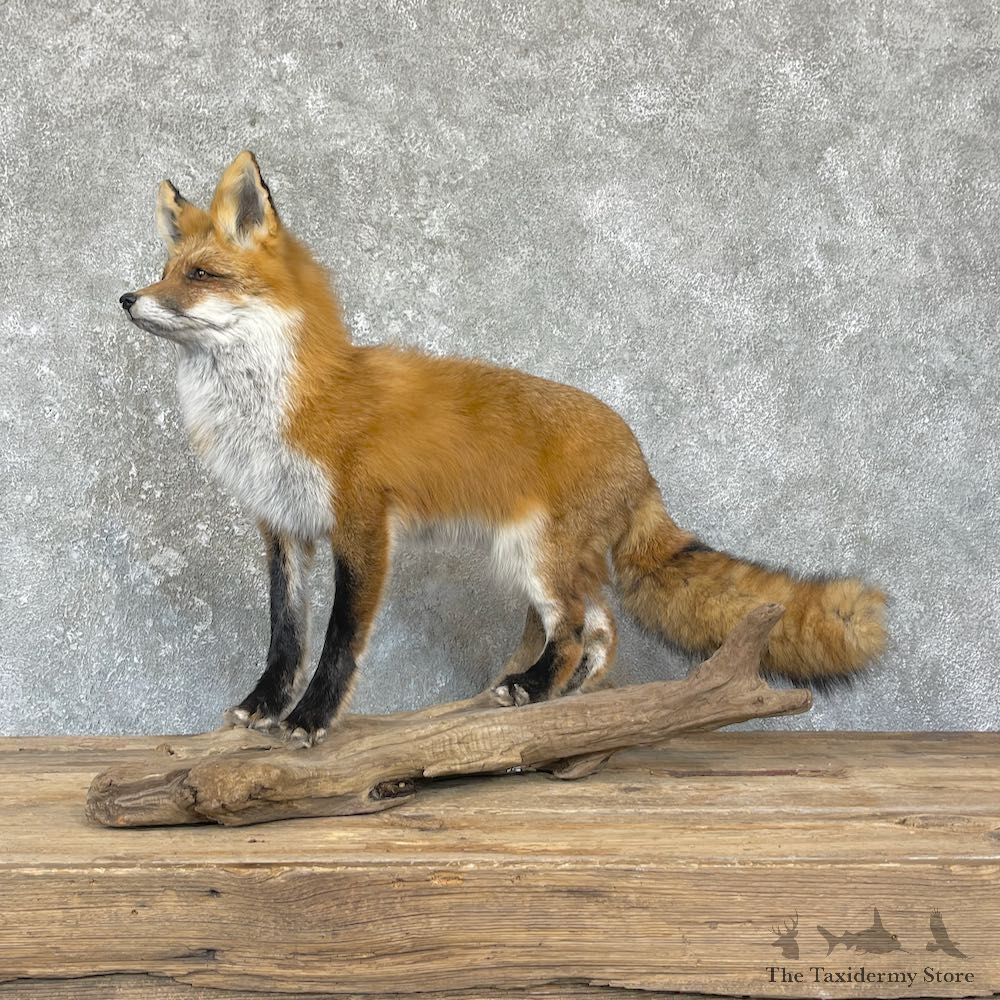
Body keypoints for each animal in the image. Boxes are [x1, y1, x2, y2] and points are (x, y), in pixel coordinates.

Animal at [119, 151, 887, 747]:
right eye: (164, 269)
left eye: (200, 275)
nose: (127, 298)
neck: (283, 404)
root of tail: (640, 456)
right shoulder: (284, 529)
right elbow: (285, 637)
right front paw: (264, 708)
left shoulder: (361, 531)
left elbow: (338, 643)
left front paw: (310, 721)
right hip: (539, 562)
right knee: (600, 627)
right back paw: (559, 703)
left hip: (535, 558)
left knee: (580, 628)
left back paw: (536, 691)